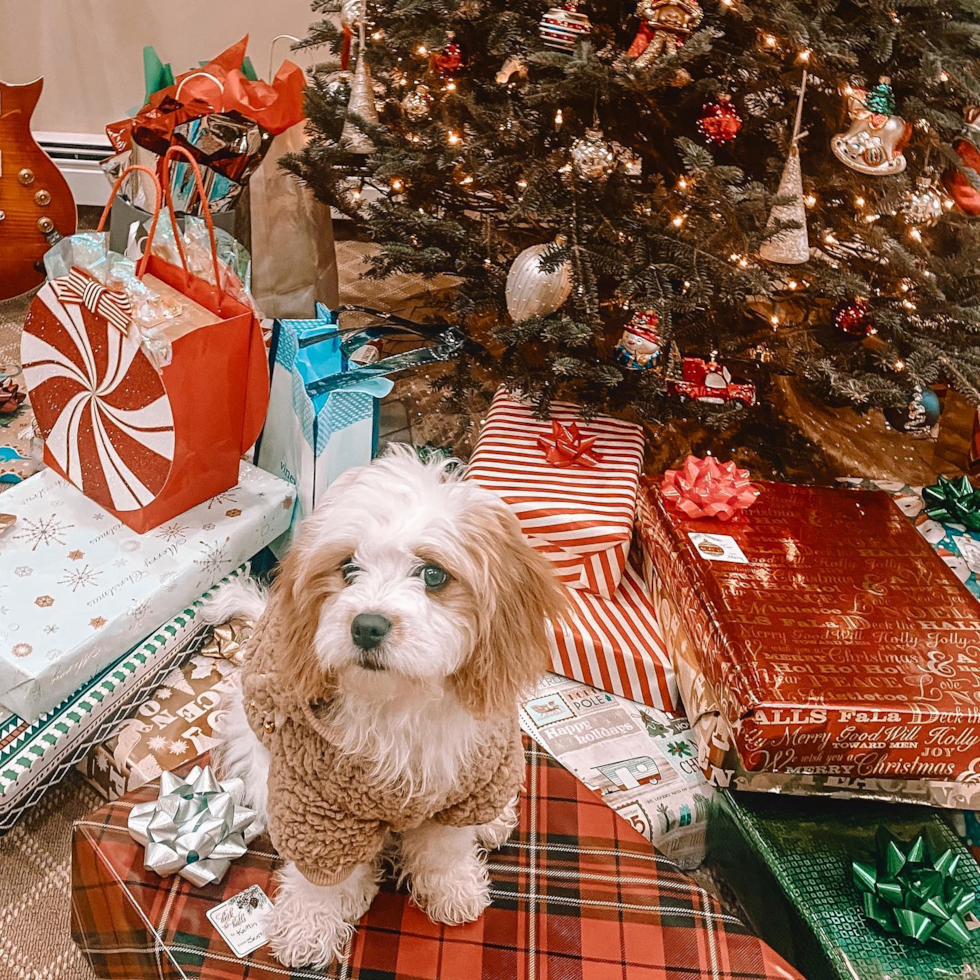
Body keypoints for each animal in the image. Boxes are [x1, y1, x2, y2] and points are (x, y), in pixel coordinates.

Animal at [203, 448, 564, 968]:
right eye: (348, 568)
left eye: (433, 574)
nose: (367, 626)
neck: (399, 704)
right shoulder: (318, 803)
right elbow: (318, 875)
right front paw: (309, 924)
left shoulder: (462, 783)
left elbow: (446, 845)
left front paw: (452, 886)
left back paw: (492, 820)